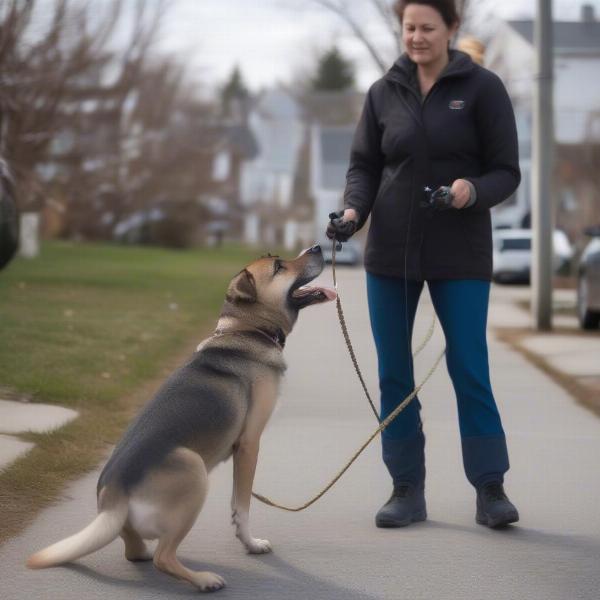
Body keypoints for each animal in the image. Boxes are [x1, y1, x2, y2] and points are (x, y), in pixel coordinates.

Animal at [27, 244, 338, 592]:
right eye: (279, 267)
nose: (318, 246)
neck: (247, 330)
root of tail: (115, 496)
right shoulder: (248, 445)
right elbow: (242, 506)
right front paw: (251, 544)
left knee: (135, 552)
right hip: (193, 468)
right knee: (164, 557)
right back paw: (203, 580)